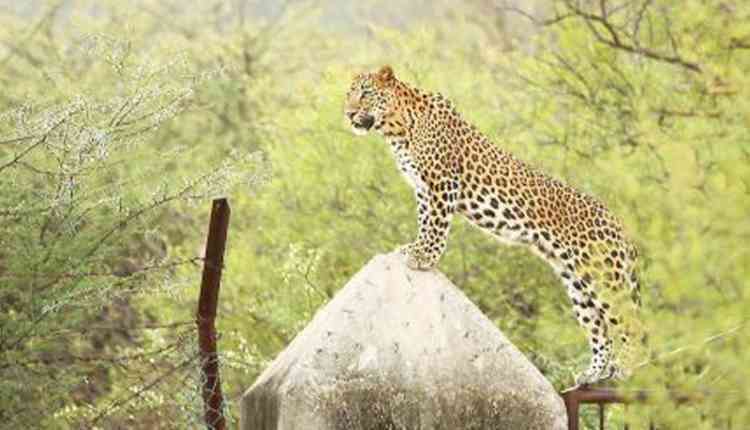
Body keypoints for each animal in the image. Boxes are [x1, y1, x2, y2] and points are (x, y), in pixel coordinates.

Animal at [344, 64, 644, 386]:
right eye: (348, 95)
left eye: (365, 94)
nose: (348, 113)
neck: (396, 127)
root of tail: (621, 227)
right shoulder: (422, 188)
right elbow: (424, 220)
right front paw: (416, 248)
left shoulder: (441, 183)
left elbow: (435, 224)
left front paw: (423, 256)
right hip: (577, 283)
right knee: (599, 330)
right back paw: (593, 374)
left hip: (604, 278)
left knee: (632, 324)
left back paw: (627, 369)